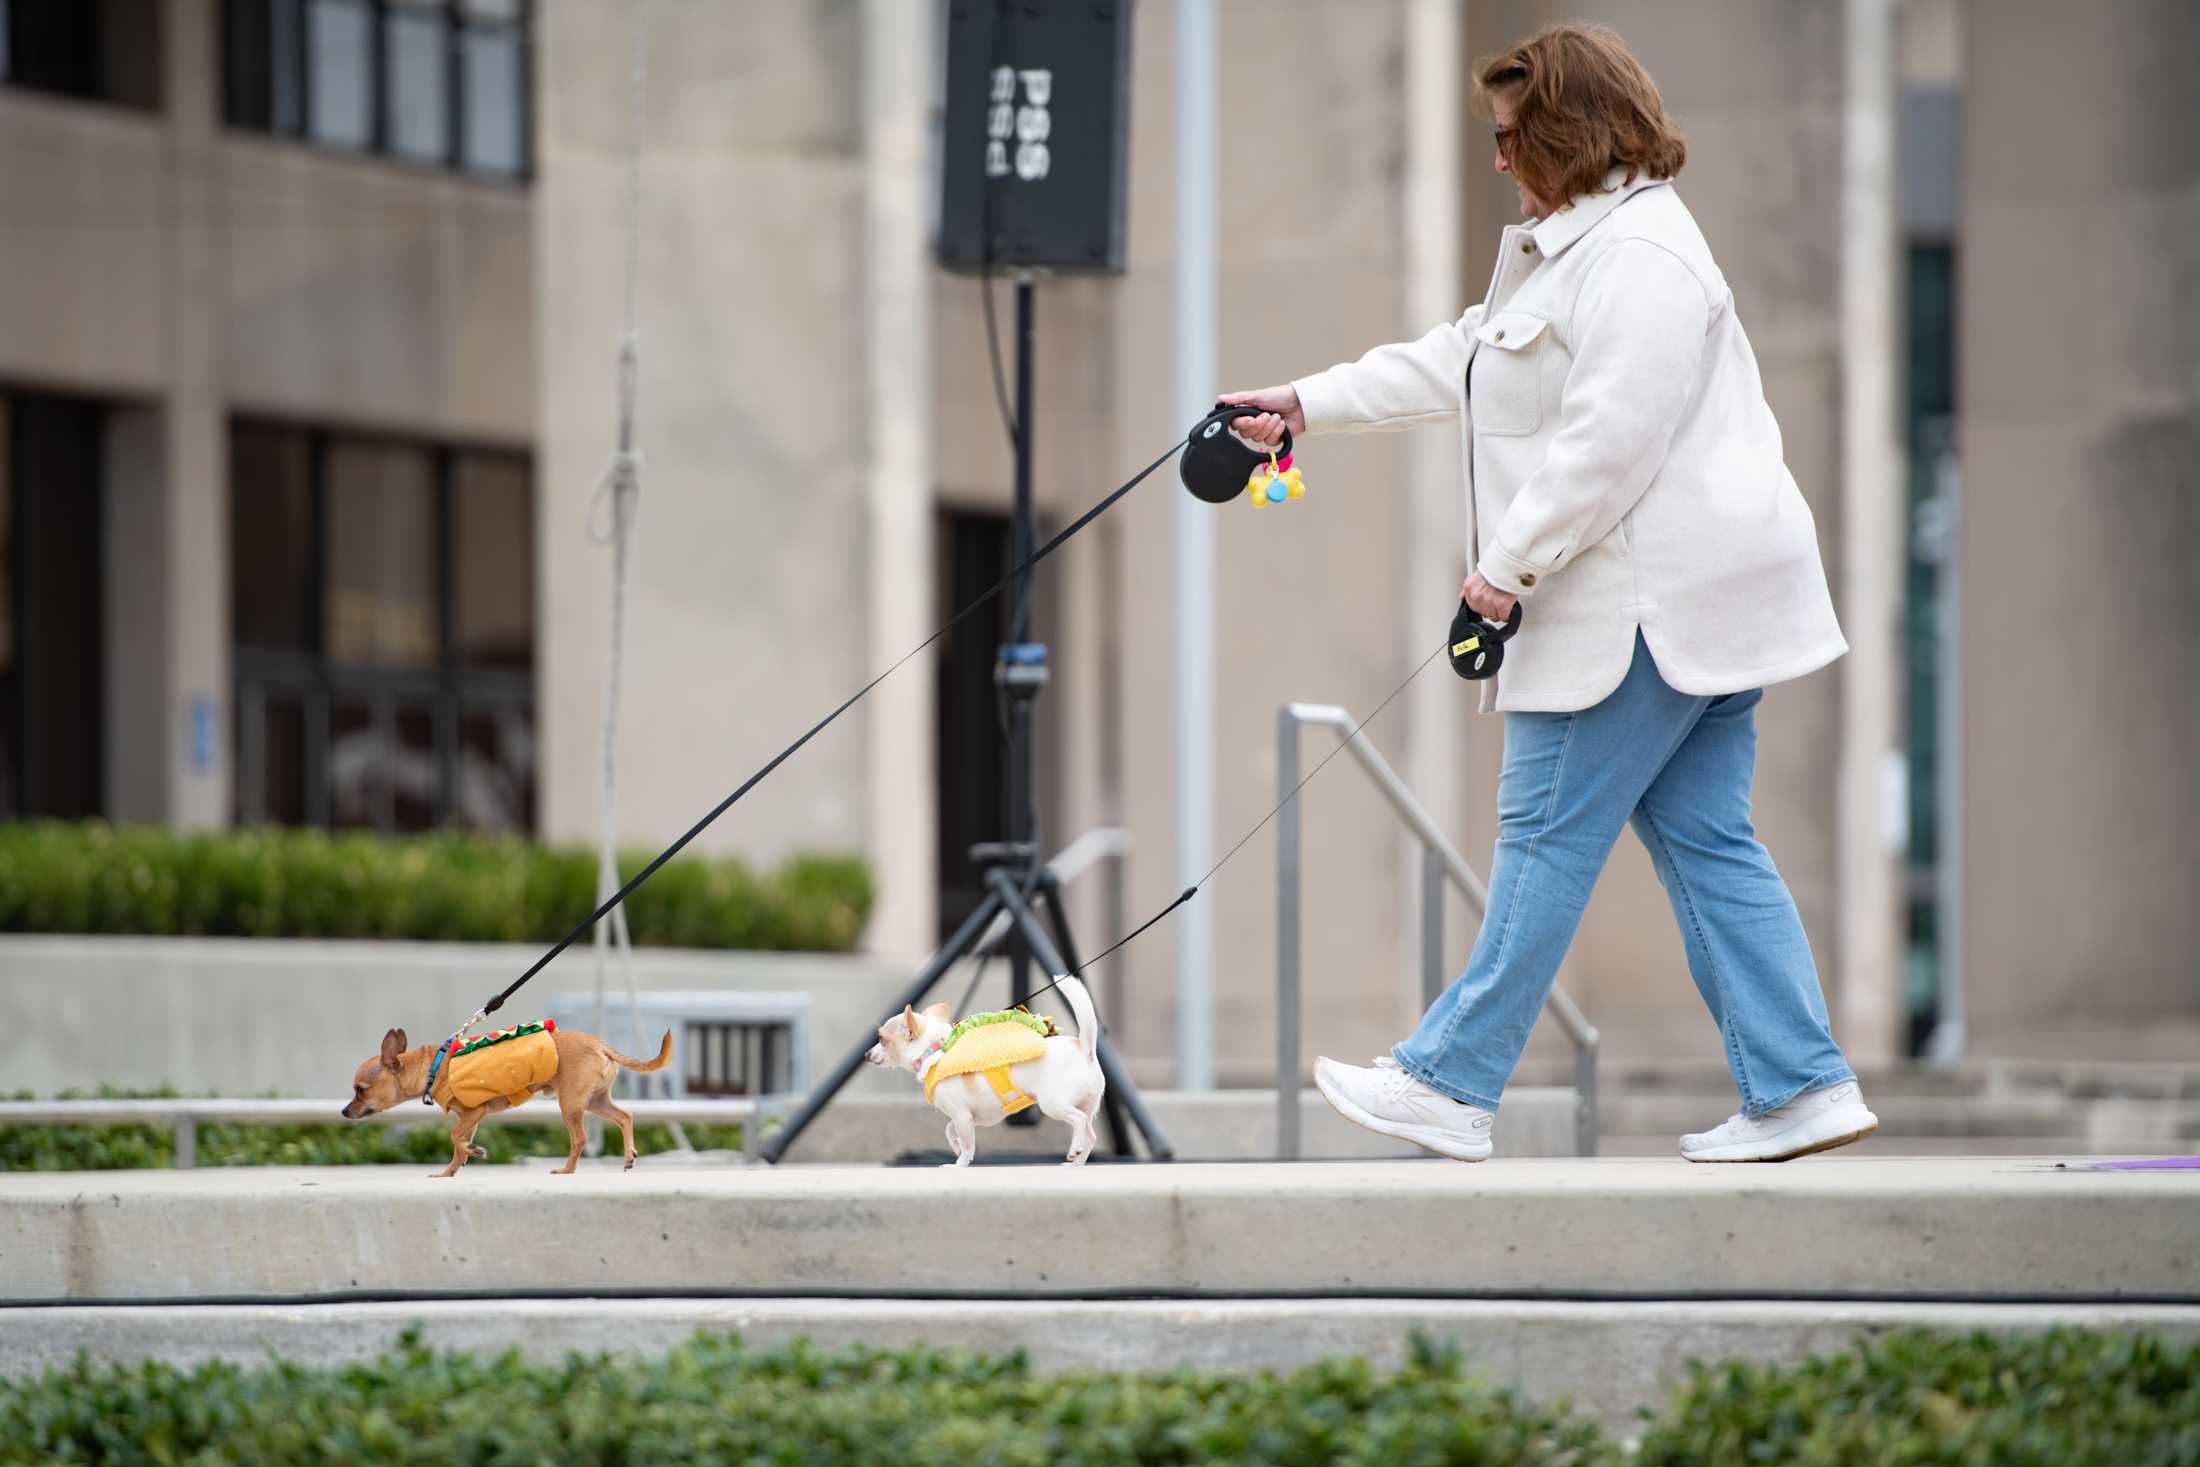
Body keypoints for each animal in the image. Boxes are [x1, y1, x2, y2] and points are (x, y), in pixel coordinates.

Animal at [338, 1029, 668, 1178]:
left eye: (360, 1091)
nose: (343, 1111)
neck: (432, 1067)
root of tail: (600, 1044)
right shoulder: (471, 1116)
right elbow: (458, 1146)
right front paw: (451, 1170)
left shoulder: (474, 1111)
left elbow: (454, 1137)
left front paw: (471, 1152)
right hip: (596, 1101)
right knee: (625, 1117)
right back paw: (628, 1156)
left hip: (571, 1105)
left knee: (580, 1138)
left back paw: (566, 1170)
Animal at [866, 976, 1108, 1170]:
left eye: (881, 1039)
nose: (867, 1054)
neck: (935, 1048)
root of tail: (1083, 1047)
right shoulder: (968, 1117)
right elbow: (950, 1130)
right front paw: (955, 1147)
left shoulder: (962, 1115)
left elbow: (966, 1143)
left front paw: (958, 1165)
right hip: (1085, 1105)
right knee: (1090, 1135)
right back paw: (1077, 1161)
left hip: (1053, 1104)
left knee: (1078, 1121)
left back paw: (1074, 1151)